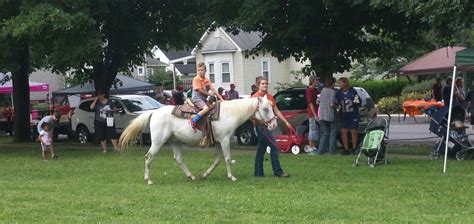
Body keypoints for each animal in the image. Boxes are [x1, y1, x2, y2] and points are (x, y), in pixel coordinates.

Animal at [117, 95, 278, 185]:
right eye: (265, 109)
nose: (274, 125)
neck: (229, 114)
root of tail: (154, 112)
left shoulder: (218, 142)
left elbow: (218, 160)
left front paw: (205, 174)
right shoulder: (225, 140)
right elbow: (227, 158)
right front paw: (231, 177)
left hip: (174, 141)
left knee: (178, 158)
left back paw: (191, 176)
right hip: (158, 142)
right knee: (149, 157)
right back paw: (148, 180)